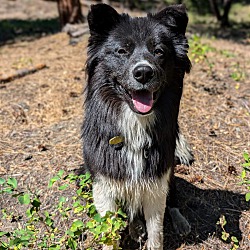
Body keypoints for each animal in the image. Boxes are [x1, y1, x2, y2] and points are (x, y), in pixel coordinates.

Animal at [82, 3, 193, 250]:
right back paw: (136, 227)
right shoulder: (104, 185)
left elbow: (157, 231)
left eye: (159, 51)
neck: (135, 123)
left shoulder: (156, 182)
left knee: (172, 201)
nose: (143, 72)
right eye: (122, 51)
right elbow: (110, 232)